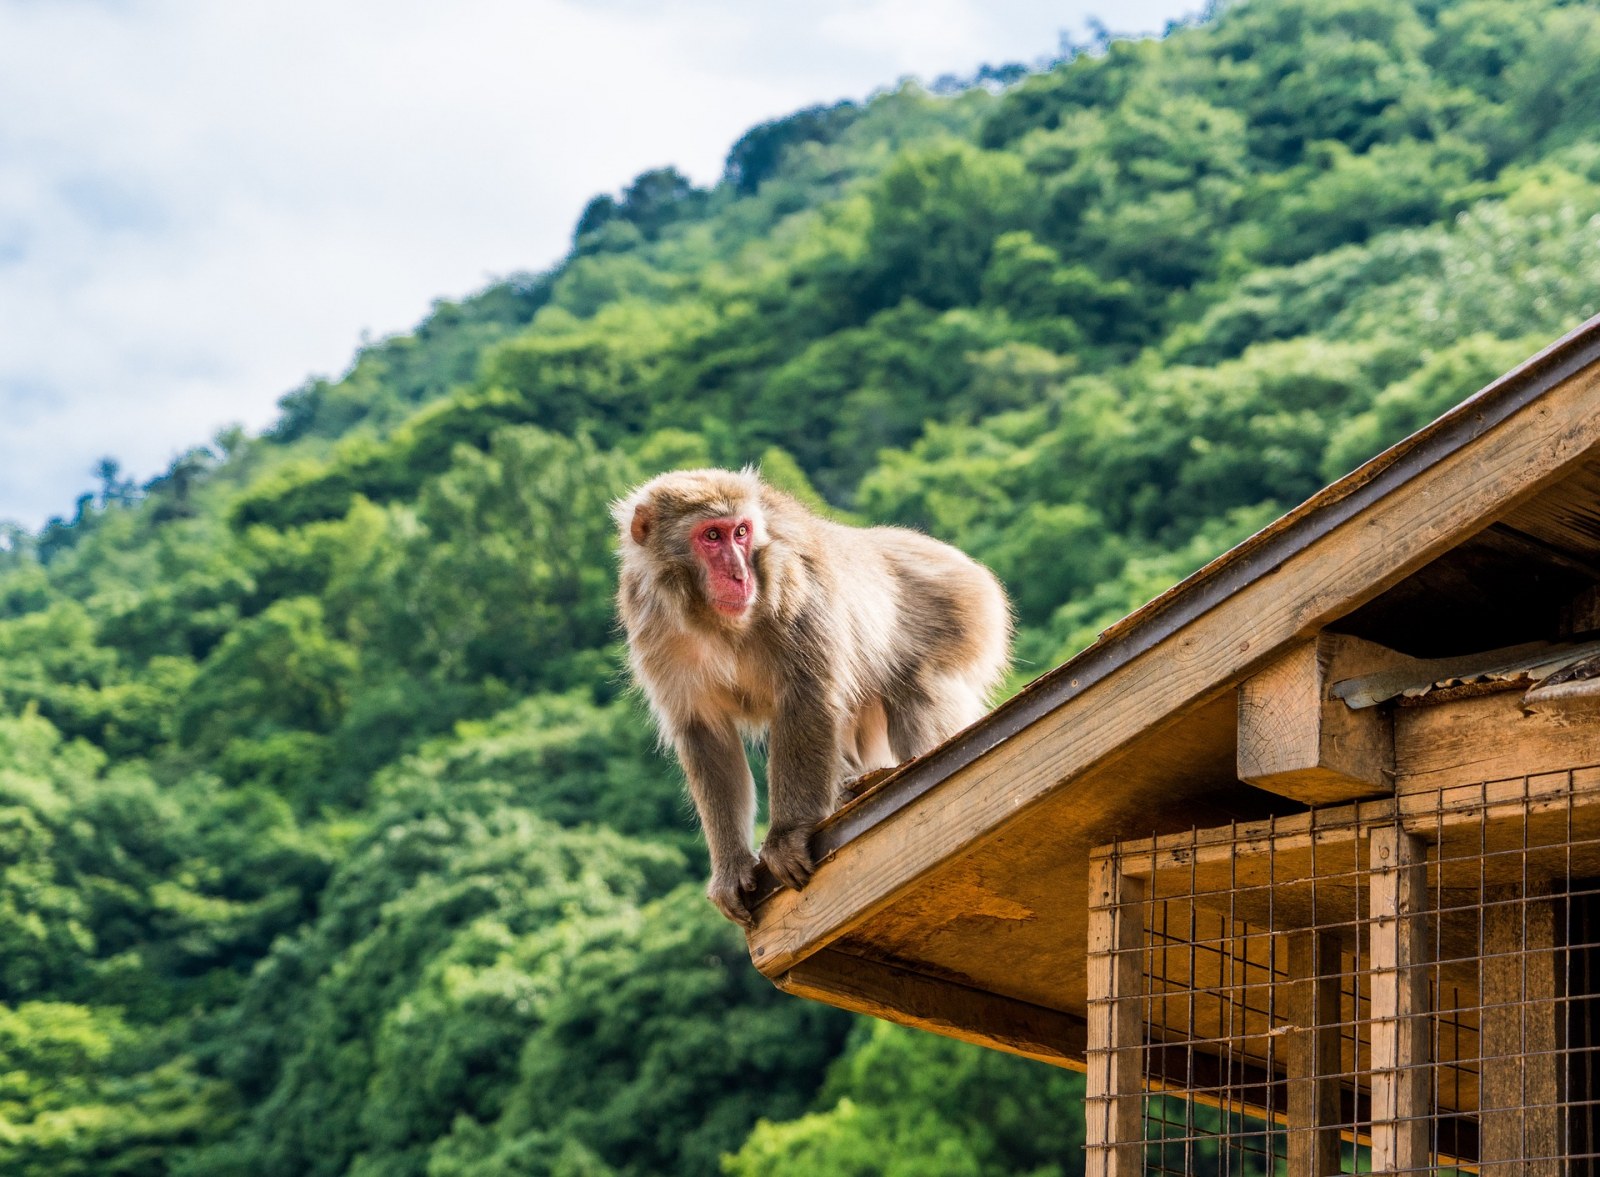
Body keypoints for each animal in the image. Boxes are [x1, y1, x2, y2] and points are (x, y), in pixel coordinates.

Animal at [614, 470, 1011, 927]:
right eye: (711, 535)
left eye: (741, 532)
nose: (740, 575)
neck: (714, 621)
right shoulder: (653, 625)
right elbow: (706, 734)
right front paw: (731, 867)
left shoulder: (795, 588)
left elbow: (807, 697)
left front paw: (786, 837)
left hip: (965, 615)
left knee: (919, 691)